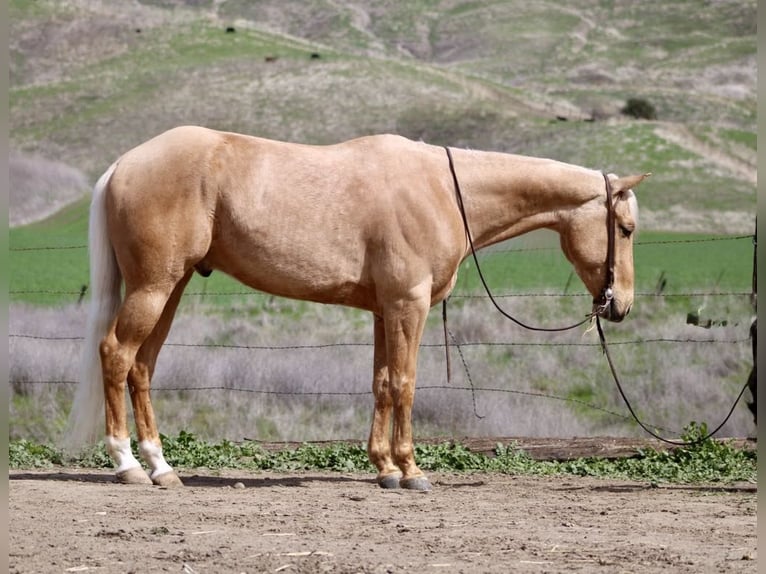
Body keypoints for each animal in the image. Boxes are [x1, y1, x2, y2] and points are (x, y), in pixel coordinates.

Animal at [66, 125, 648, 490]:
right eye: (625, 228)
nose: (619, 305)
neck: (442, 189)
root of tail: (124, 164)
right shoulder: (409, 305)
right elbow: (406, 384)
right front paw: (411, 472)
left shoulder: (384, 311)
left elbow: (382, 383)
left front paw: (384, 468)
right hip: (153, 287)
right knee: (116, 355)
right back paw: (126, 465)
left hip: (172, 287)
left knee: (142, 367)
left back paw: (161, 466)